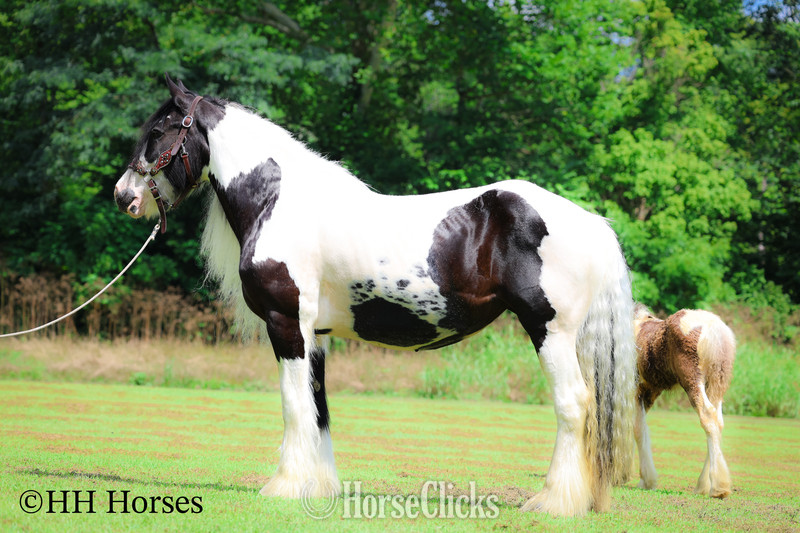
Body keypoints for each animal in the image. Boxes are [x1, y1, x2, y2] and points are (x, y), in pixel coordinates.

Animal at [113, 75, 637, 516]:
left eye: (158, 131)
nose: (124, 196)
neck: (279, 204)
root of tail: (592, 222)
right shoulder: (316, 334)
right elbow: (319, 408)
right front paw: (319, 488)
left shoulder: (286, 324)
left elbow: (293, 405)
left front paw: (283, 486)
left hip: (549, 329)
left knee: (572, 403)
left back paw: (553, 501)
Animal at [633, 303, 736, 499]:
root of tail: (716, 331)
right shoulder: (648, 392)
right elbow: (641, 429)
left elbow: (635, 431)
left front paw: (646, 481)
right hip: (716, 385)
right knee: (717, 422)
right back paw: (704, 485)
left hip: (692, 382)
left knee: (707, 416)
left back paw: (718, 488)